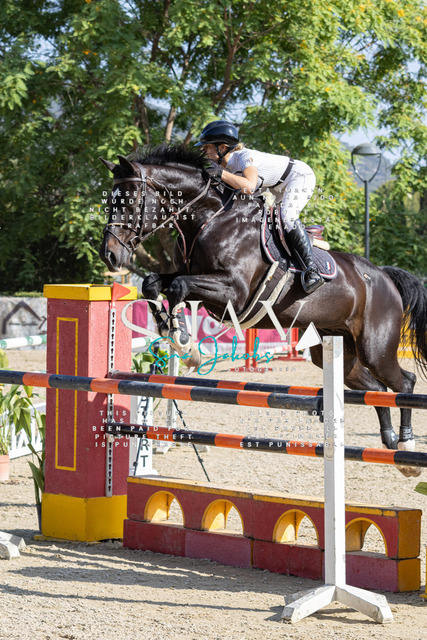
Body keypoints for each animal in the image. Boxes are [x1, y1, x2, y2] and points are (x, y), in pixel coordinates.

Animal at [99, 144, 427, 477]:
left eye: (127, 202)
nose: (109, 256)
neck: (208, 218)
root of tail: (384, 276)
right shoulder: (200, 283)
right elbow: (154, 284)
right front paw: (177, 337)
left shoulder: (233, 292)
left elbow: (177, 286)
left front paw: (184, 344)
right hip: (336, 346)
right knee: (376, 388)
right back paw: (390, 443)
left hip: (375, 347)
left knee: (404, 382)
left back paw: (407, 447)